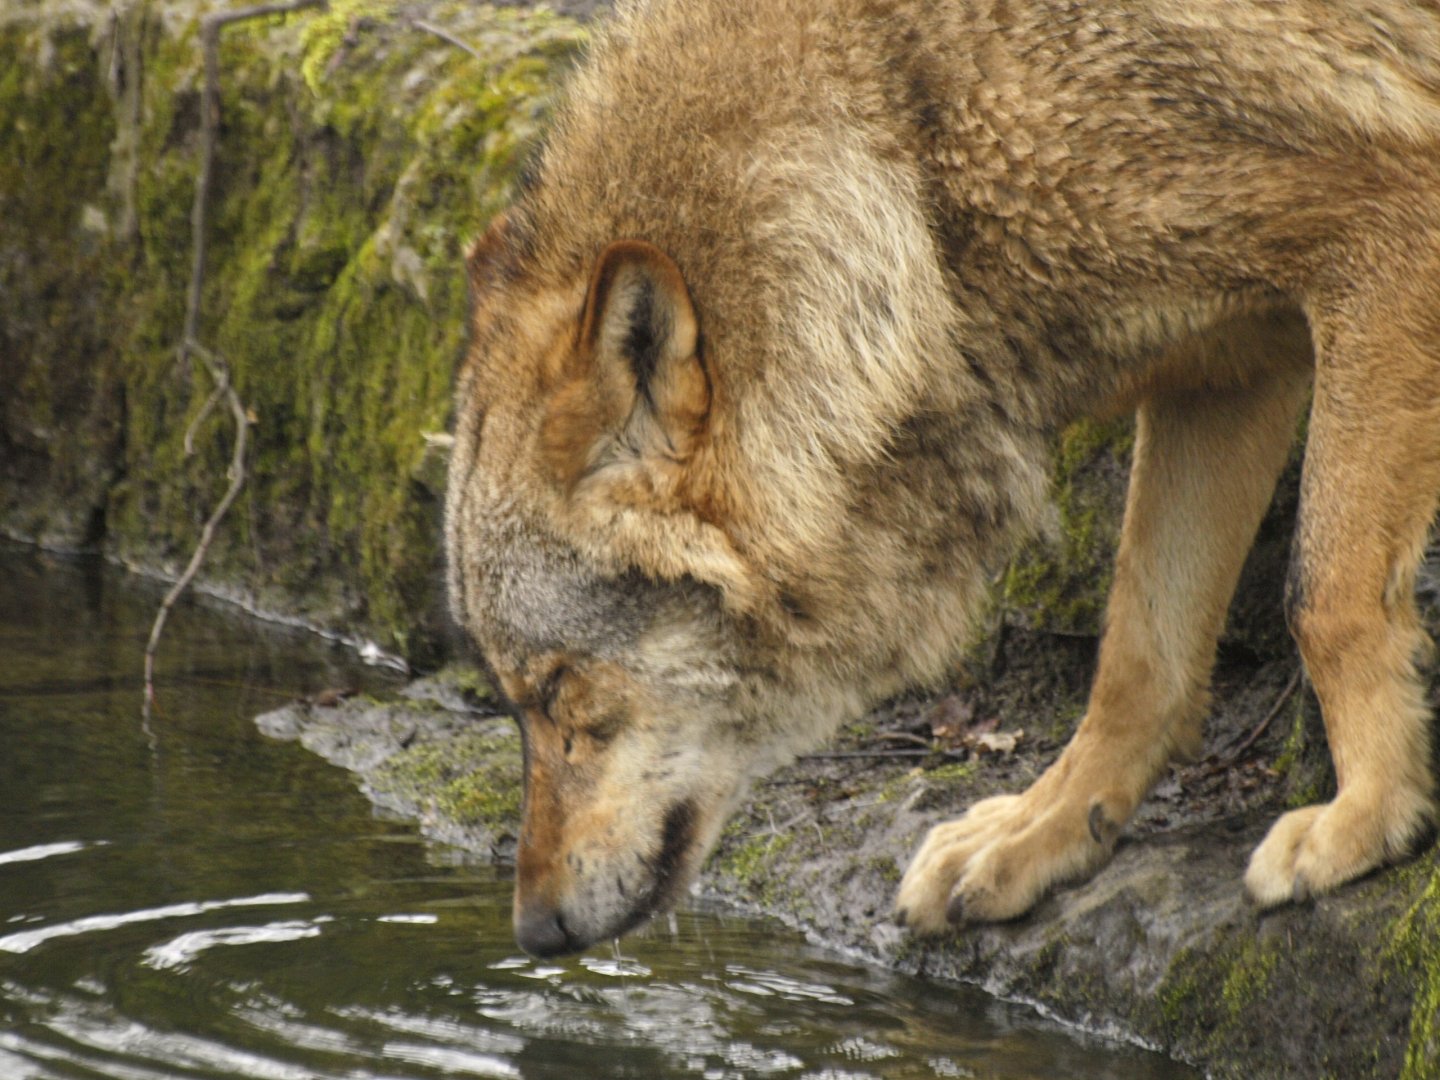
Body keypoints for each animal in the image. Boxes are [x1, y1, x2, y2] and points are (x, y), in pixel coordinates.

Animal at [445, 0, 1440, 956]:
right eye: (513, 701)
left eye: (559, 691)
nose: (531, 932)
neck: (909, 146)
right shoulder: (1228, 368)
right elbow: (1137, 651)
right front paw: (1048, 827)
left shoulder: (1388, 229)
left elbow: (1324, 595)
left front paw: (1370, 820)